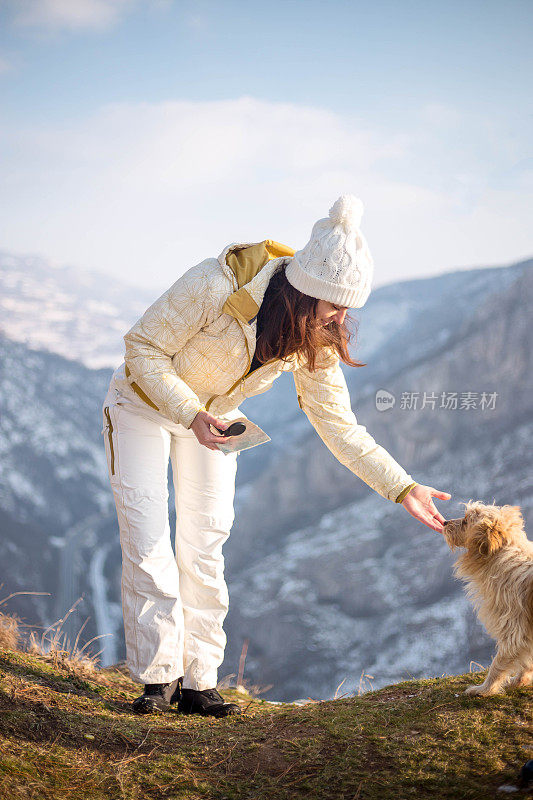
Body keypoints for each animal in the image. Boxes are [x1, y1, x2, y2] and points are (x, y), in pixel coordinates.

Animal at [442, 504, 532, 696]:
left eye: (466, 521)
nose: (445, 522)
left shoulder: (513, 628)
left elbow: (498, 663)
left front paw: (485, 689)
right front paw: (521, 680)